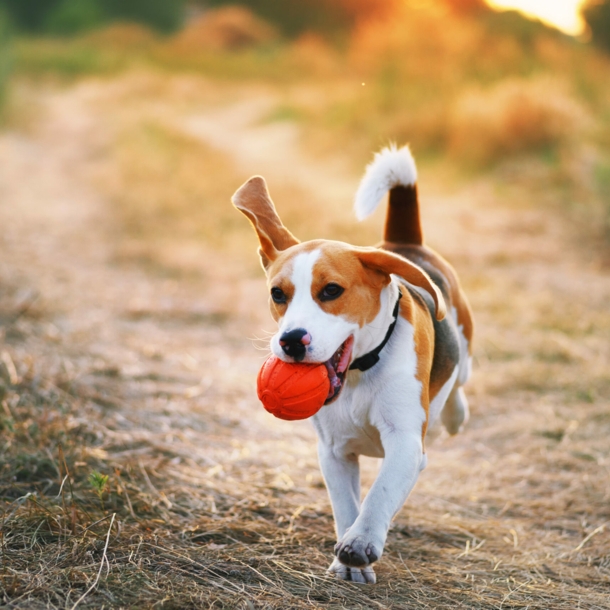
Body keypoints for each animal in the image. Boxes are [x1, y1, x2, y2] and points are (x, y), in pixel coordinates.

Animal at [230, 145, 472, 580]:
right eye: (277, 293)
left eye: (331, 290)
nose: (291, 341)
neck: (361, 372)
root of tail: (402, 242)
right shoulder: (333, 451)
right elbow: (346, 506)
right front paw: (347, 558)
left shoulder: (405, 442)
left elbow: (380, 494)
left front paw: (361, 543)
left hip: (465, 344)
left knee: (460, 380)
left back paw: (455, 413)